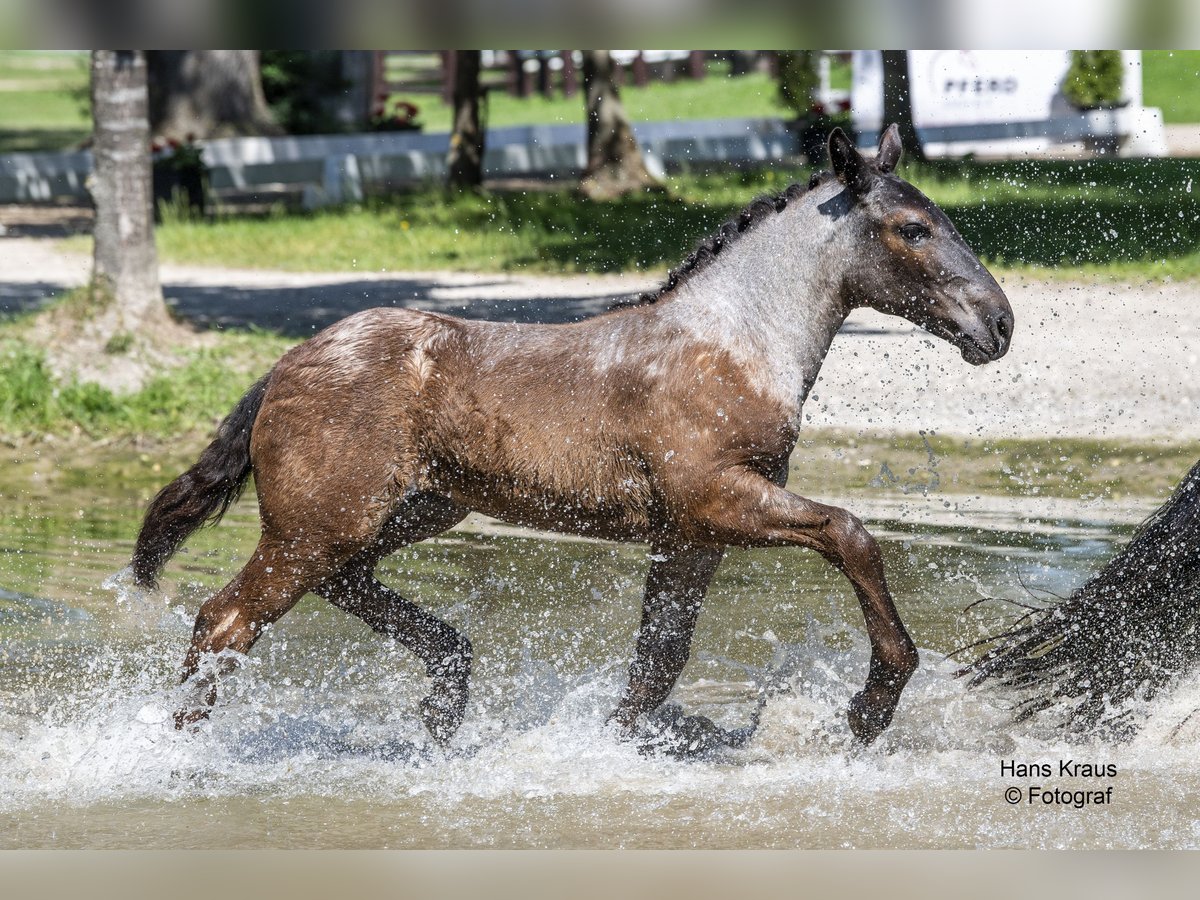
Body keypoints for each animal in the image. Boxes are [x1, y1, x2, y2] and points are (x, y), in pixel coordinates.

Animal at [129, 123, 1012, 748]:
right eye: (913, 229)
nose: (998, 324)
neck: (732, 341)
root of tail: (288, 363)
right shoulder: (720, 501)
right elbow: (850, 533)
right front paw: (872, 703)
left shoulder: (691, 537)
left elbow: (658, 662)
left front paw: (617, 743)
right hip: (317, 526)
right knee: (224, 621)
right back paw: (179, 756)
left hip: (402, 514)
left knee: (340, 588)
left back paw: (447, 695)